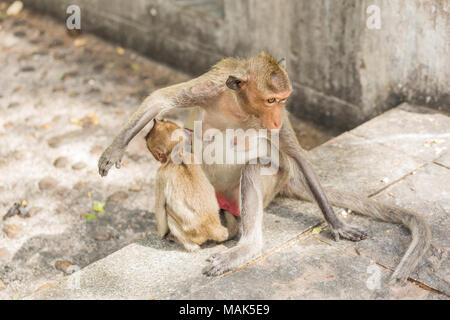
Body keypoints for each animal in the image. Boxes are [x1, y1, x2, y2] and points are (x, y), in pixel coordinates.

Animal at [147, 119, 239, 251]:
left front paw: (161, 234)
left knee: (169, 213)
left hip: (194, 234)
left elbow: (161, 213)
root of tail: (213, 225)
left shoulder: (160, 175)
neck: (179, 154)